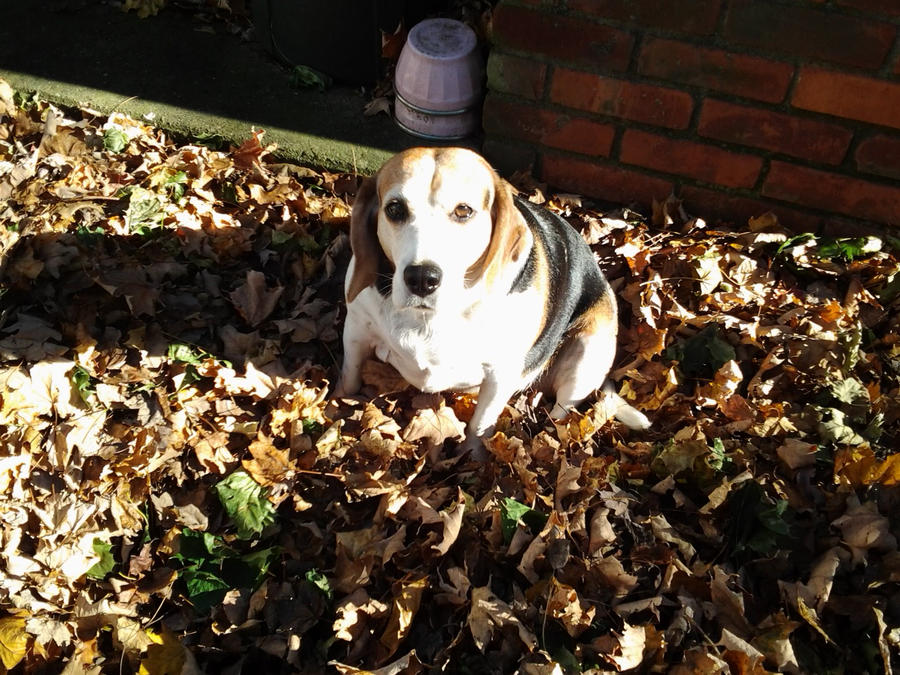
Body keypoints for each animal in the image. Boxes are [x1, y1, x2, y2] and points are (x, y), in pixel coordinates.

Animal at [336, 148, 648, 454]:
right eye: (395, 209)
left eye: (463, 210)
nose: (422, 278)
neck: (431, 316)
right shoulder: (356, 329)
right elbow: (349, 376)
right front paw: (338, 406)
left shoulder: (500, 374)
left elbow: (480, 424)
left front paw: (473, 458)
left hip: (588, 347)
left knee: (563, 413)